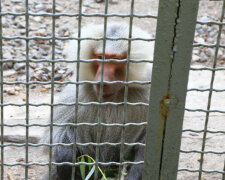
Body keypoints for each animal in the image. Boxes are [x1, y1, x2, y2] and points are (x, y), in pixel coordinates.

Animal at [41, 23, 155, 179]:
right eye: (100, 57)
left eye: (115, 59)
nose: (102, 81)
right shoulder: (77, 95)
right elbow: (58, 134)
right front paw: (66, 157)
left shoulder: (147, 94)